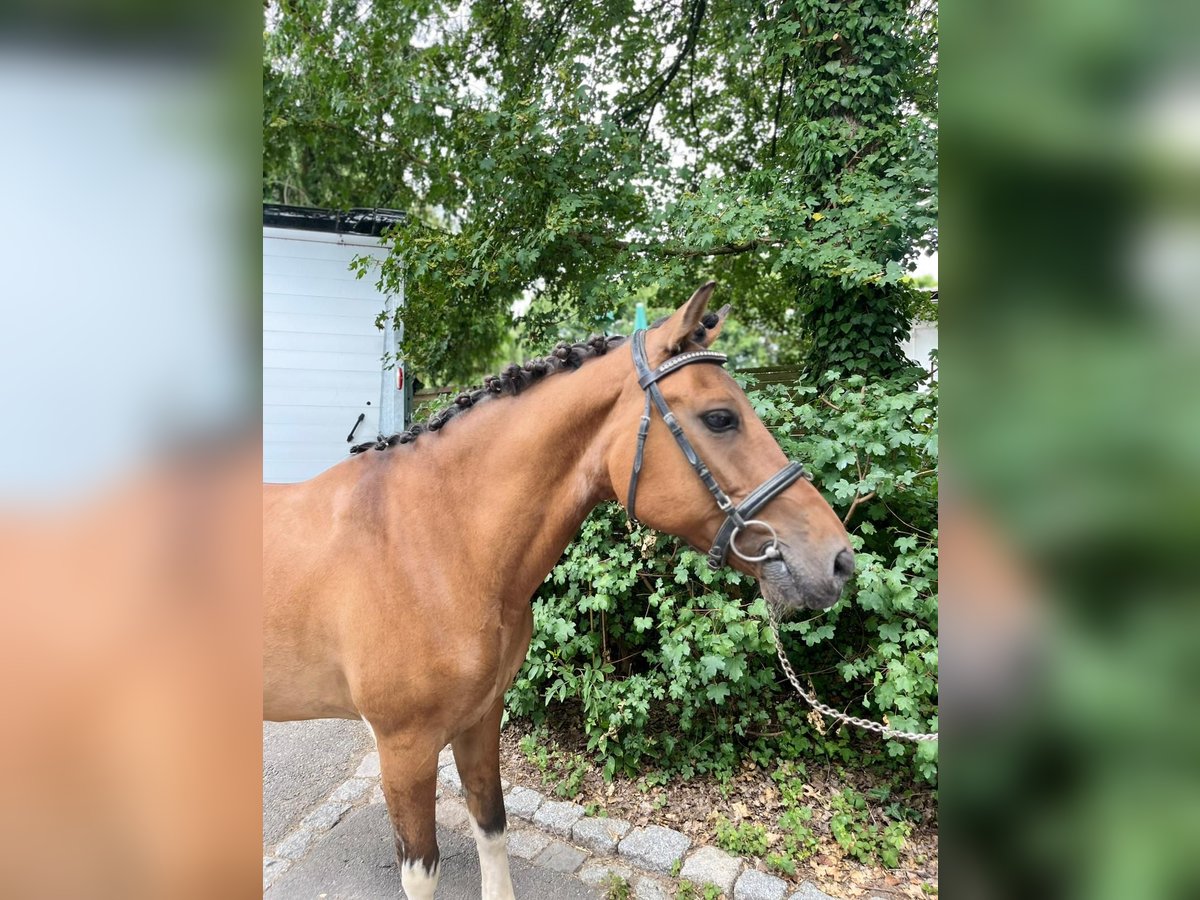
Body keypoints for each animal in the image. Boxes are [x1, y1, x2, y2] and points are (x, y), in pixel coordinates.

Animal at [263, 283, 854, 900]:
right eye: (720, 418)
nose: (838, 559)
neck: (435, 541)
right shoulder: (404, 749)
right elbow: (422, 872)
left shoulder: (481, 720)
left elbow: (491, 828)